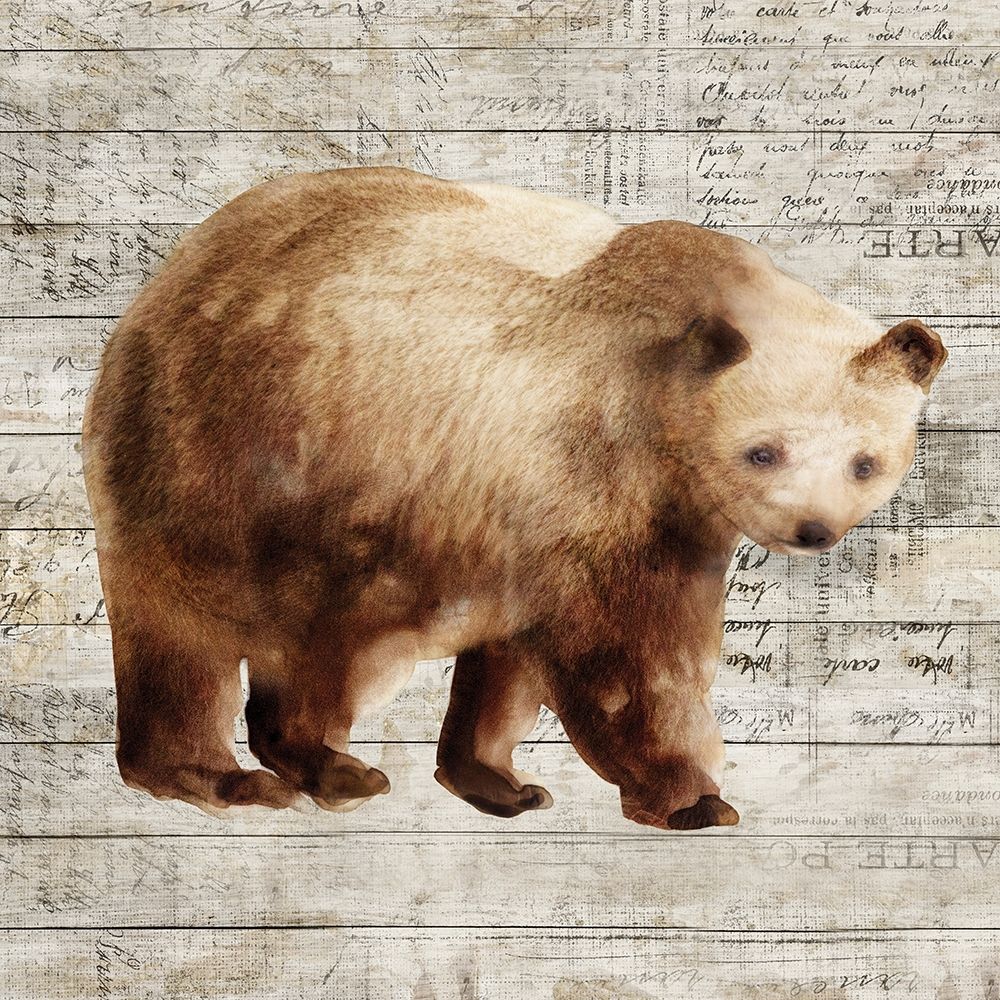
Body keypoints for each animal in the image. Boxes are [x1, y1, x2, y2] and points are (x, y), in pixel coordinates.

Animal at [80, 166, 947, 830]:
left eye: (866, 460)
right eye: (763, 449)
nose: (813, 528)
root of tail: (166, 283)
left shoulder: (563, 516)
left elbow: (518, 657)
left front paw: (500, 773)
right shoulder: (586, 475)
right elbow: (629, 653)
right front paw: (693, 795)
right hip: (263, 468)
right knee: (256, 637)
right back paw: (286, 770)